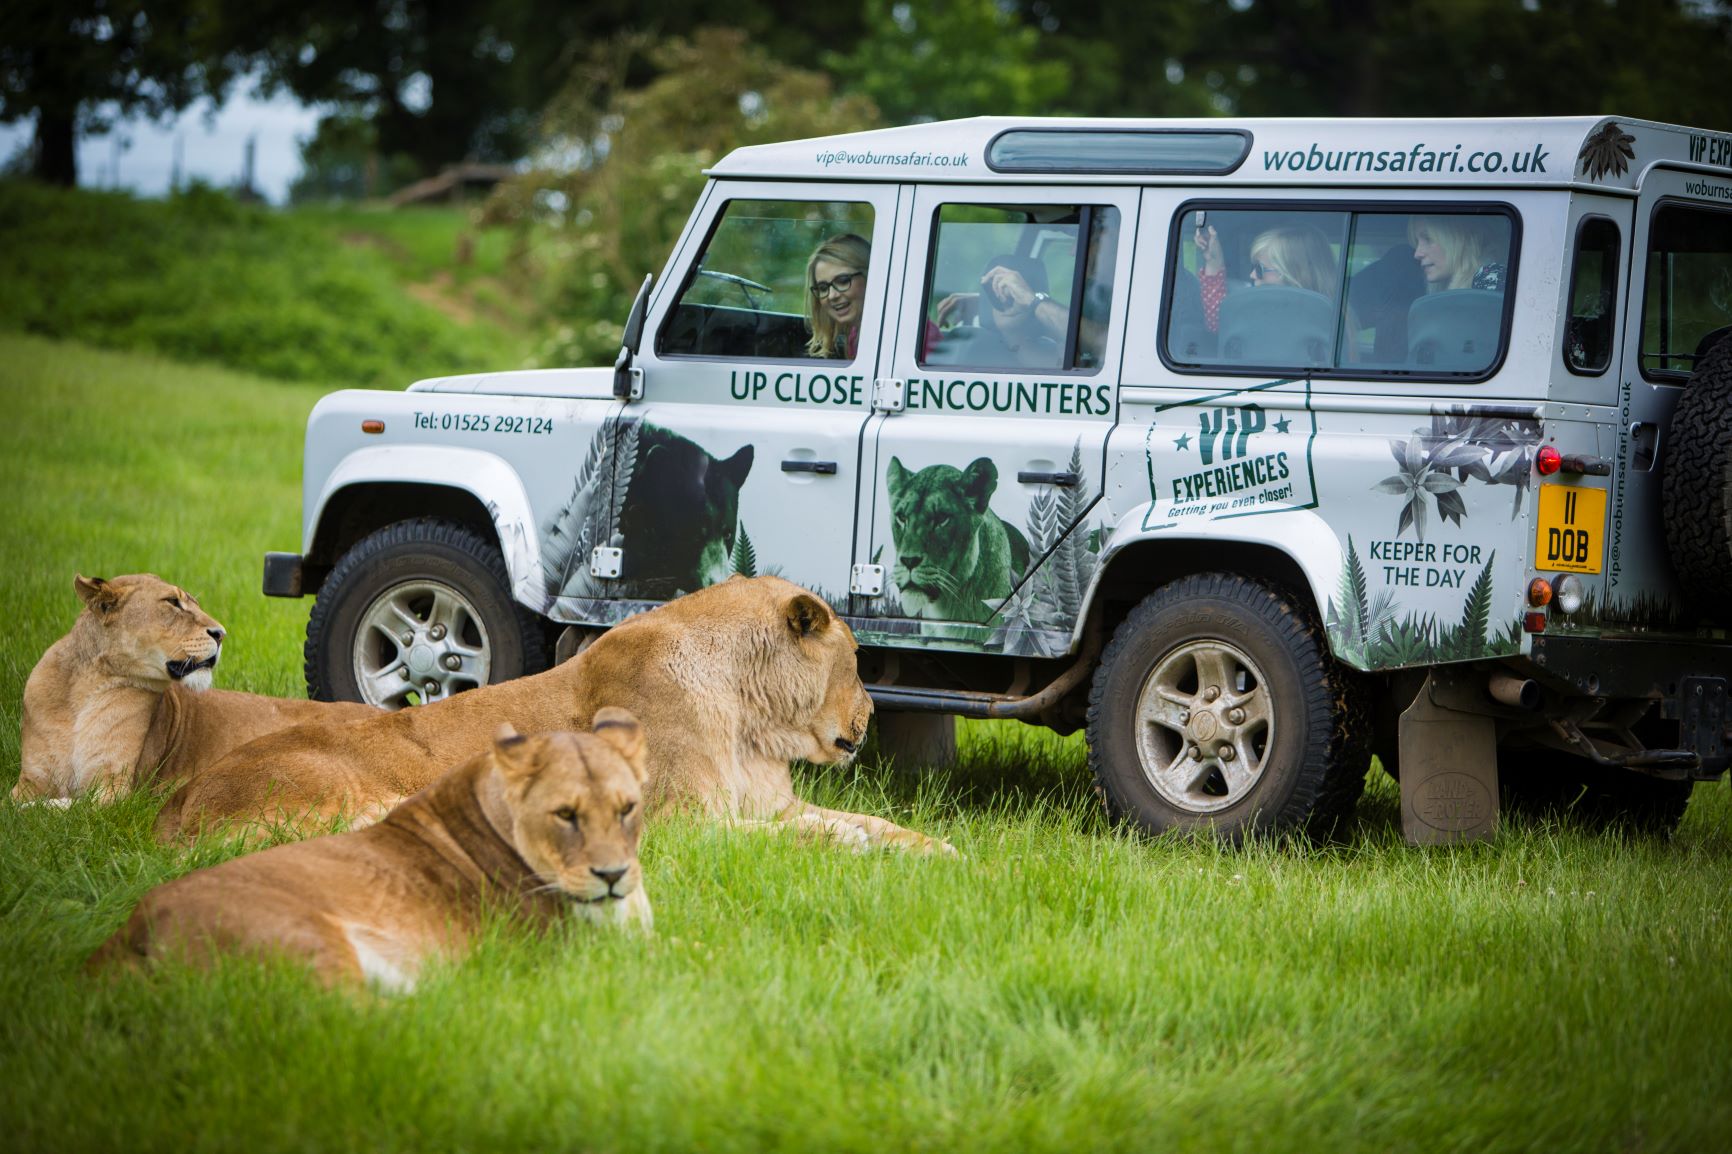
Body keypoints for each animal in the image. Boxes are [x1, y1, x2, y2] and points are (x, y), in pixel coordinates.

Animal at [16, 571, 375, 800]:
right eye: (172, 603)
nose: (221, 633)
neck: (84, 691)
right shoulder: (30, 780)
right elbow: (22, 807)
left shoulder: (114, 788)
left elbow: (62, 807)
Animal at [155, 571, 956, 849]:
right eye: (858, 663)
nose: (871, 714)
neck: (751, 721)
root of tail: (175, 808)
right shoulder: (684, 823)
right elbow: (805, 840)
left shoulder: (766, 802)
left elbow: (867, 825)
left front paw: (938, 852)